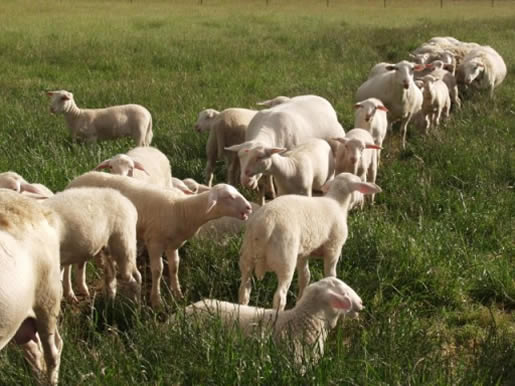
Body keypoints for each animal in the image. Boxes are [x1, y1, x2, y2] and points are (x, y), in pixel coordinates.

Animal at [66, 172, 254, 308]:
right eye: (228, 197)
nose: (249, 207)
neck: (182, 209)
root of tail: (73, 182)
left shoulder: (173, 245)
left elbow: (175, 266)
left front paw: (178, 293)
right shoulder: (154, 242)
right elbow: (158, 270)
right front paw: (156, 301)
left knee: (81, 262)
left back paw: (84, 288)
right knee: (68, 265)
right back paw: (71, 293)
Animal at [240, 173, 380, 312]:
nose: (361, 202)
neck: (338, 203)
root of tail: (264, 227)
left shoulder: (304, 252)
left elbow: (305, 277)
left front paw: (300, 300)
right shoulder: (333, 248)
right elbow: (331, 274)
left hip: (247, 255)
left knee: (244, 289)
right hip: (285, 259)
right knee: (280, 297)